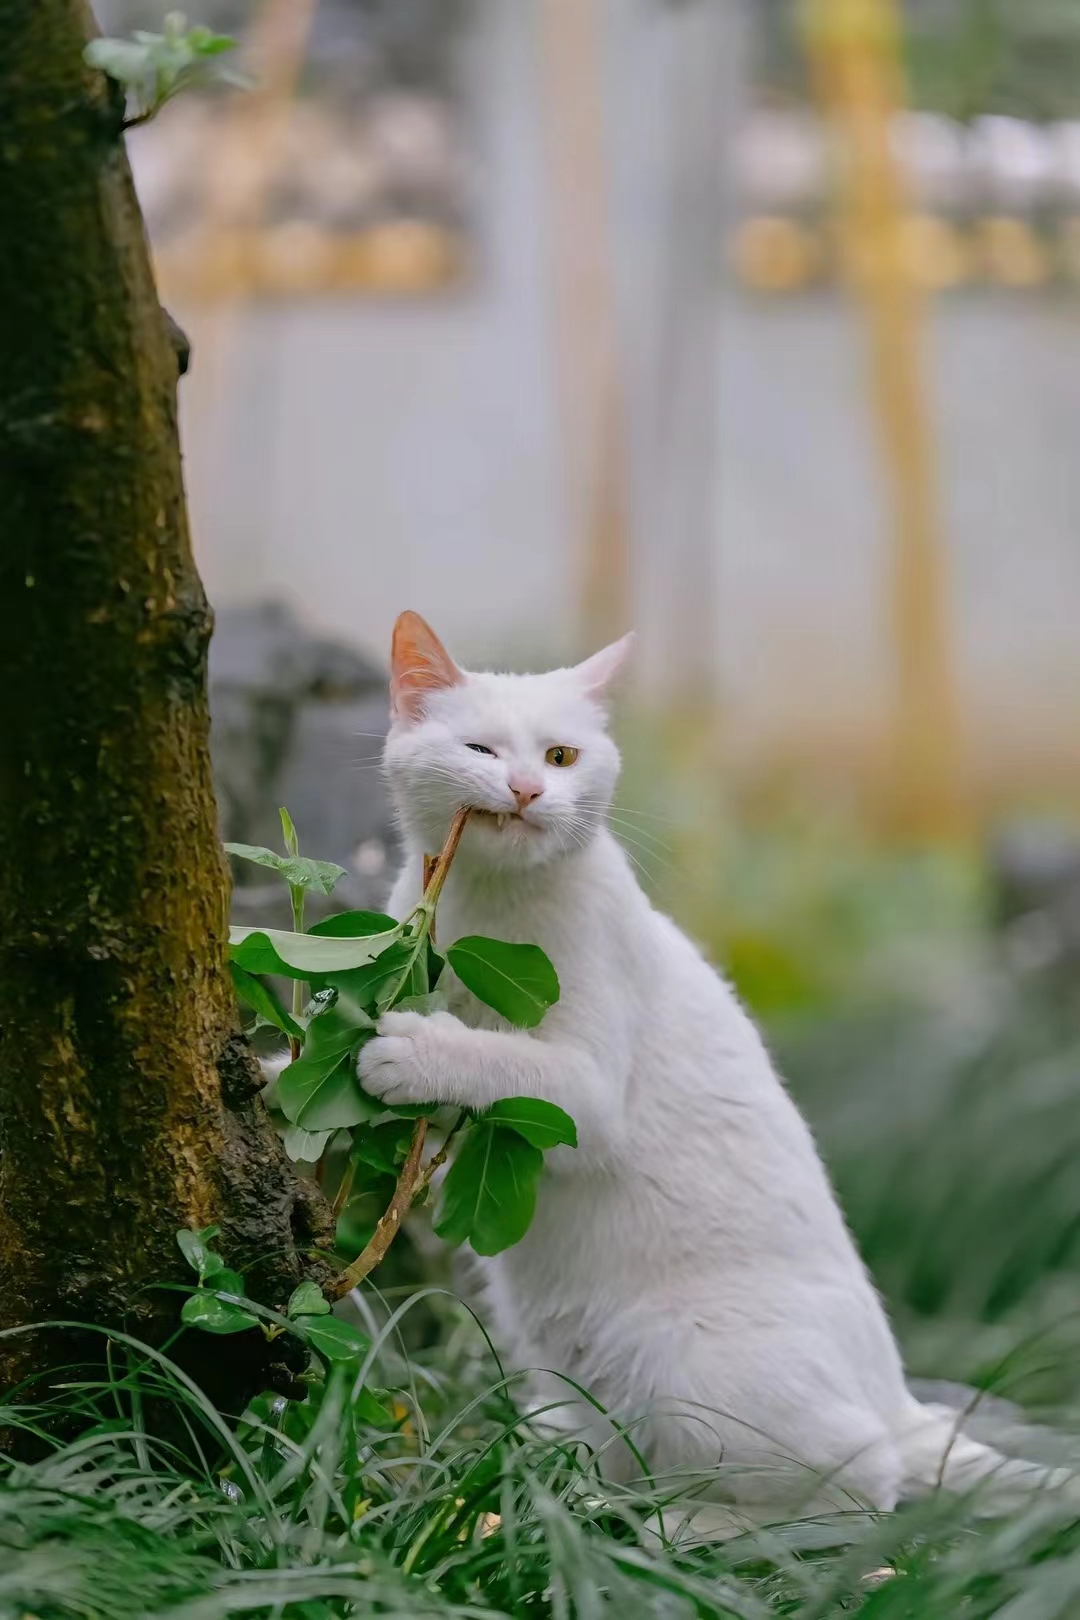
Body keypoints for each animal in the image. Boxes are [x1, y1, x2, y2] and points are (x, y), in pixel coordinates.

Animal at [361, 612, 1075, 1522]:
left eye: (561, 757)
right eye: (483, 750)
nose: (525, 790)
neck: (482, 910)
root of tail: (897, 1398)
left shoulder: (587, 1087)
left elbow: (502, 1059)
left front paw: (411, 1048)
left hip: (690, 1361)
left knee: (859, 1485)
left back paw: (692, 1521)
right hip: (569, 1372)